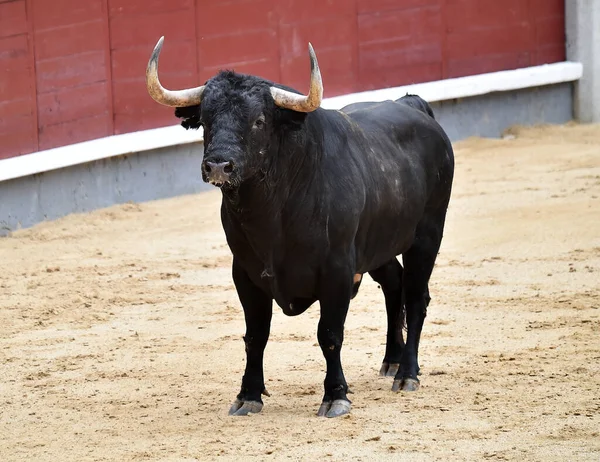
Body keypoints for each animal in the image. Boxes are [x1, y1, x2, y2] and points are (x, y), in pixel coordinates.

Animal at [146, 38, 454, 416]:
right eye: (204, 120)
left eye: (259, 120)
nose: (219, 165)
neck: (272, 215)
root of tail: (412, 105)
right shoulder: (245, 273)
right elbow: (256, 335)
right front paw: (248, 395)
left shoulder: (337, 271)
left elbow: (330, 334)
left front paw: (336, 396)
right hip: (377, 246)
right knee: (394, 285)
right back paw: (391, 361)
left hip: (427, 235)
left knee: (416, 294)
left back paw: (407, 373)